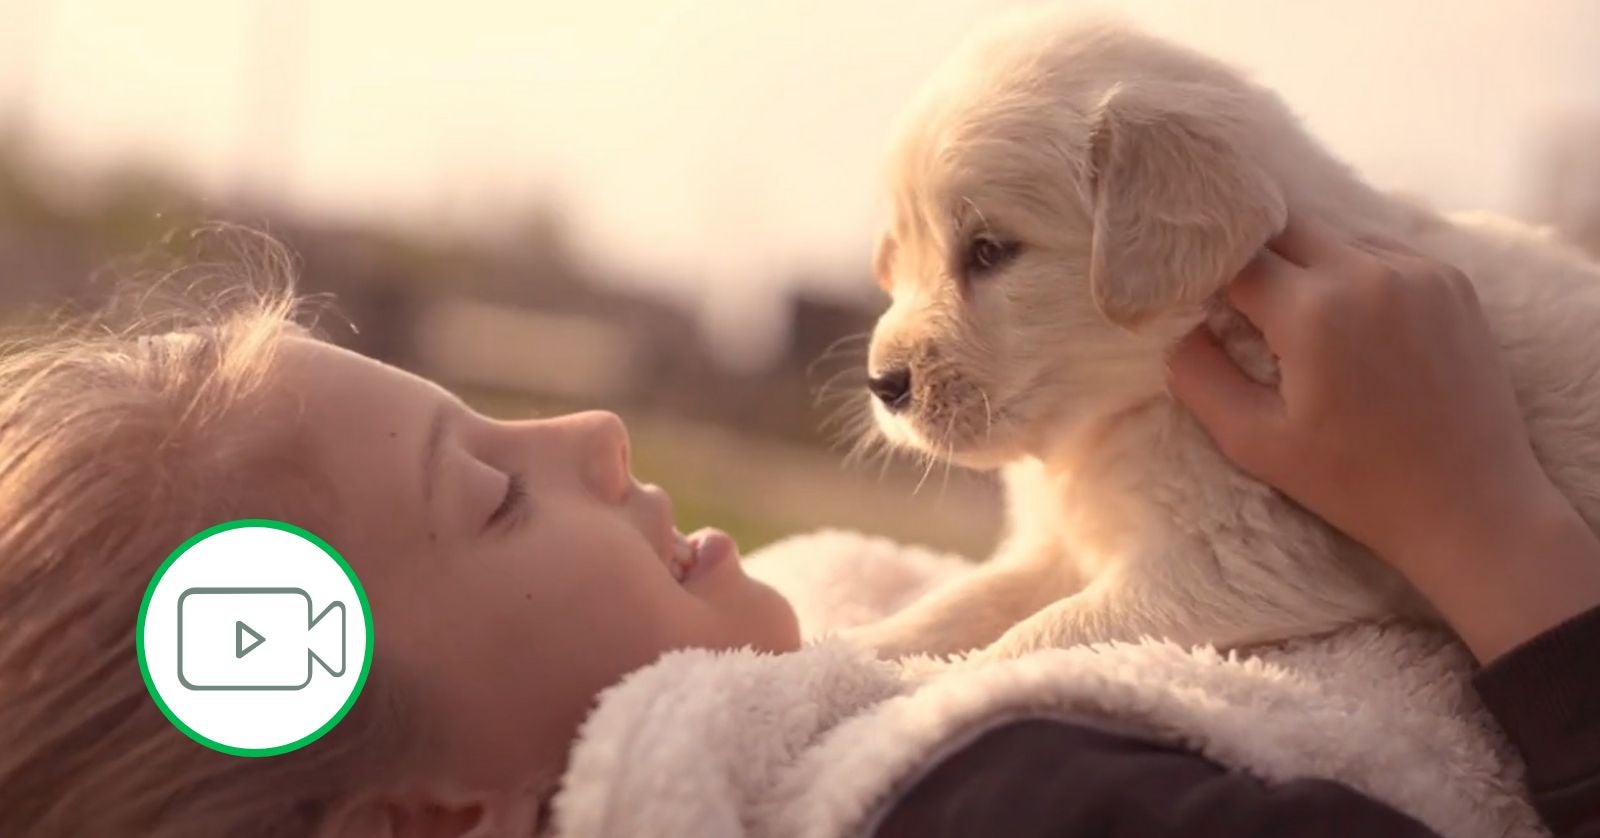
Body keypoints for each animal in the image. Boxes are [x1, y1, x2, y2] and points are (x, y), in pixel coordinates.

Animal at [844, 8, 1600, 662]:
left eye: (990, 251)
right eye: (900, 256)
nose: (883, 385)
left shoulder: (1241, 562)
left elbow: (1036, 636)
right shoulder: (1064, 548)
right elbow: (962, 602)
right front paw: (855, 648)